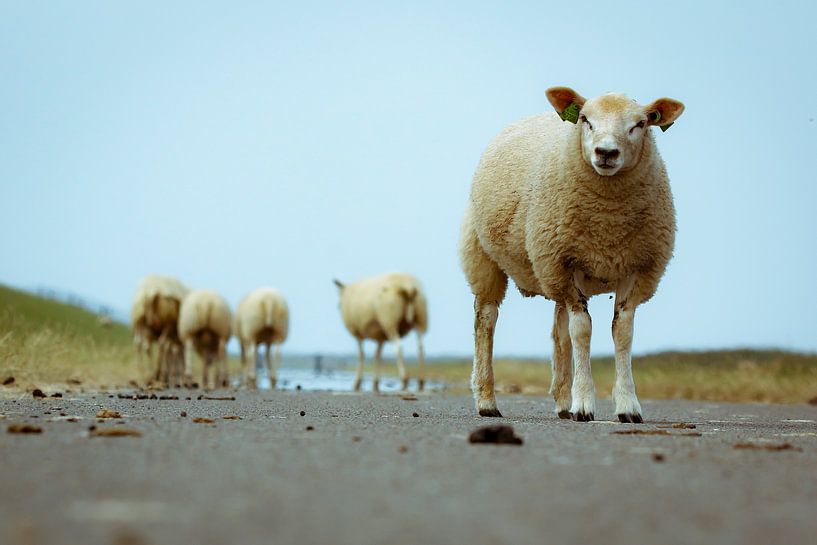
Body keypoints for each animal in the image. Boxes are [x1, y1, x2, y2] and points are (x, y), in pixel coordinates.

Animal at [459, 86, 684, 422]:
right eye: (585, 119)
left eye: (640, 124)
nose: (606, 153)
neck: (608, 221)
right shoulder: (564, 263)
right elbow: (582, 331)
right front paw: (585, 404)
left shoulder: (637, 269)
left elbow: (622, 333)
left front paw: (628, 406)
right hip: (485, 258)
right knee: (486, 320)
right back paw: (487, 401)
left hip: (553, 271)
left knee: (558, 331)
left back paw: (563, 401)